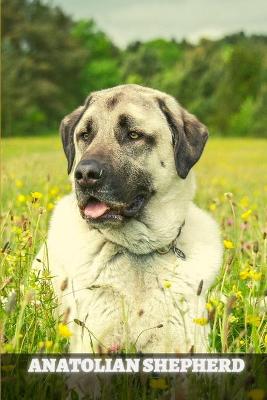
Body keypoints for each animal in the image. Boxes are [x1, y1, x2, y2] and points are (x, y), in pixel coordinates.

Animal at [34, 84, 223, 354]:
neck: (139, 252)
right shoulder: (92, 340)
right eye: (85, 135)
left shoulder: (187, 342)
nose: (84, 174)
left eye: (134, 135)